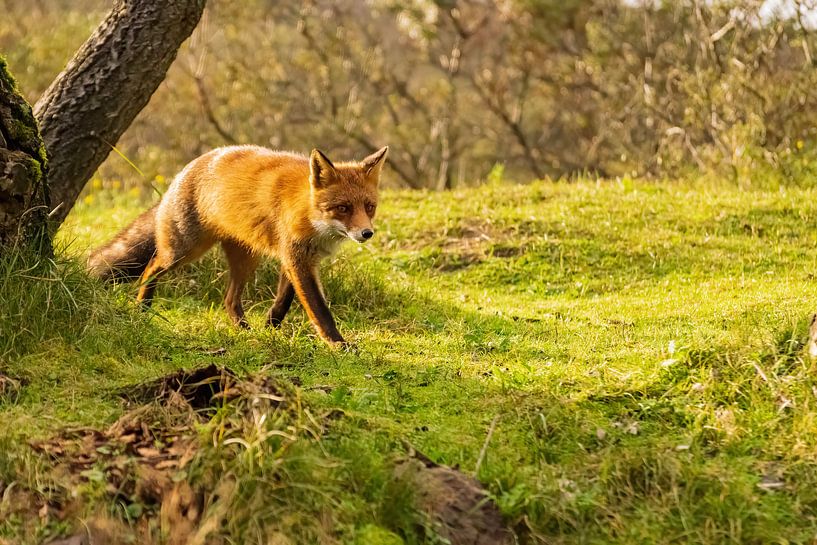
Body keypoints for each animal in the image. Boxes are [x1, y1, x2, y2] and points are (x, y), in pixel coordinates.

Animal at [87, 145, 389, 347]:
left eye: (369, 206)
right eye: (343, 208)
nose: (367, 233)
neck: (307, 210)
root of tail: (189, 166)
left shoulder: (297, 259)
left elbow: (283, 300)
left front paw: (270, 328)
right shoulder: (296, 257)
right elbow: (319, 310)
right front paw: (339, 344)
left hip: (245, 260)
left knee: (229, 300)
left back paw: (245, 331)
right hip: (183, 250)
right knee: (151, 268)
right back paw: (143, 308)